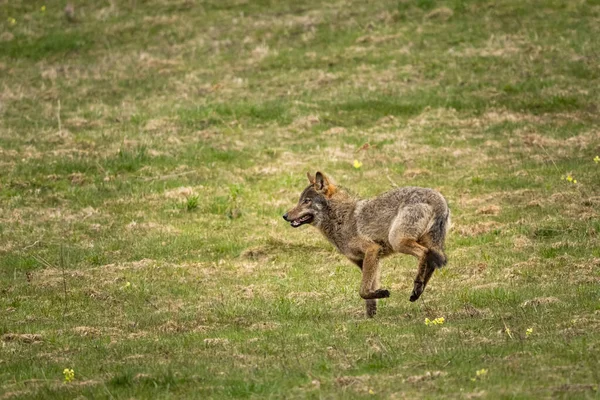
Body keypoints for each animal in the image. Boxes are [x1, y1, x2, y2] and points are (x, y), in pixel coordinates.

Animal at [282, 172, 450, 318]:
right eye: (300, 200)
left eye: (306, 201)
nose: (284, 216)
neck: (341, 218)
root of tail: (439, 199)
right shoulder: (365, 260)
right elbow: (368, 295)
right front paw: (370, 318)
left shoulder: (372, 249)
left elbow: (362, 291)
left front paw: (382, 295)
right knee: (432, 261)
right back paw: (417, 292)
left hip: (397, 241)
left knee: (424, 253)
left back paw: (417, 285)